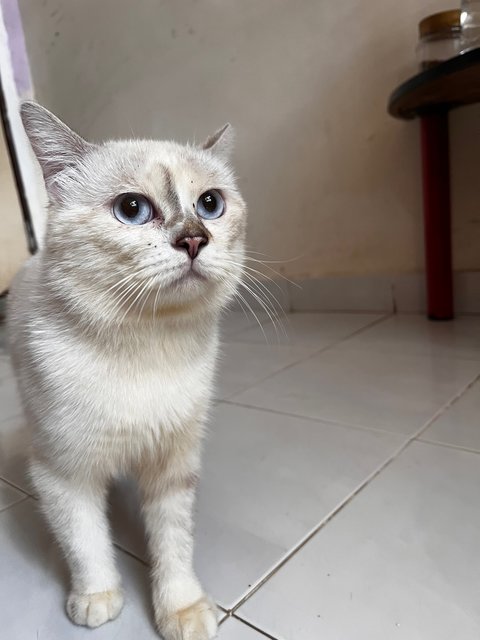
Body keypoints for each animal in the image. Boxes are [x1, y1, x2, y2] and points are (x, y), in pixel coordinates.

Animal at [7, 102, 246, 636]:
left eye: (210, 204)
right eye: (132, 209)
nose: (195, 238)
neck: (147, 347)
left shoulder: (174, 468)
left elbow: (173, 546)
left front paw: (181, 610)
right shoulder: (62, 473)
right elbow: (86, 542)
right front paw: (97, 598)